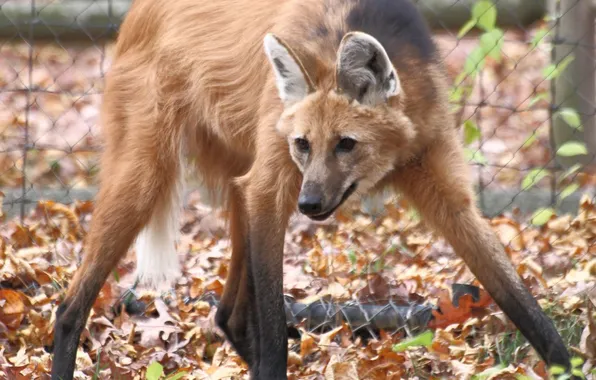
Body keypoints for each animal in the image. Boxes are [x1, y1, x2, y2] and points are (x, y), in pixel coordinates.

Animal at [50, 0, 572, 378]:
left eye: (346, 143)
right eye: (304, 143)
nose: (310, 203)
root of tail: (137, 11)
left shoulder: (442, 185)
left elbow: (520, 299)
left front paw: (567, 366)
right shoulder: (274, 186)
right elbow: (273, 323)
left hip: (239, 181)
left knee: (228, 315)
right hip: (149, 175)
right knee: (70, 306)